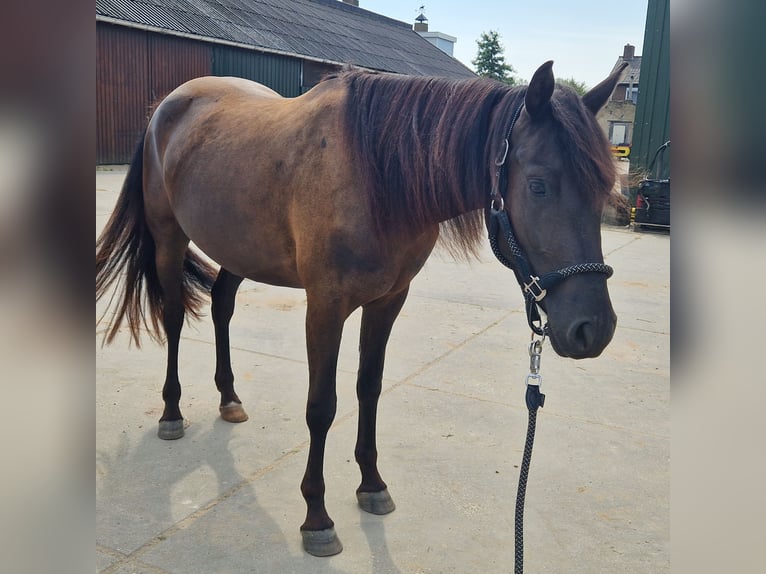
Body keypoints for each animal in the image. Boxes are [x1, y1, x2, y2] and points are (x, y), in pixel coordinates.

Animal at [96, 62, 624, 560]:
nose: (593, 330)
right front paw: (317, 518)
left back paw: (229, 397)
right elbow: (321, 408)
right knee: (173, 318)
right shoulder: (325, 307)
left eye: (604, 189)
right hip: (168, 239)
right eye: (538, 186)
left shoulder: (388, 301)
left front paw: (372, 484)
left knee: (222, 305)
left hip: (238, 247)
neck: (377, 178)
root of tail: (167, 107)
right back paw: (171, 411)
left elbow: (369, 388)